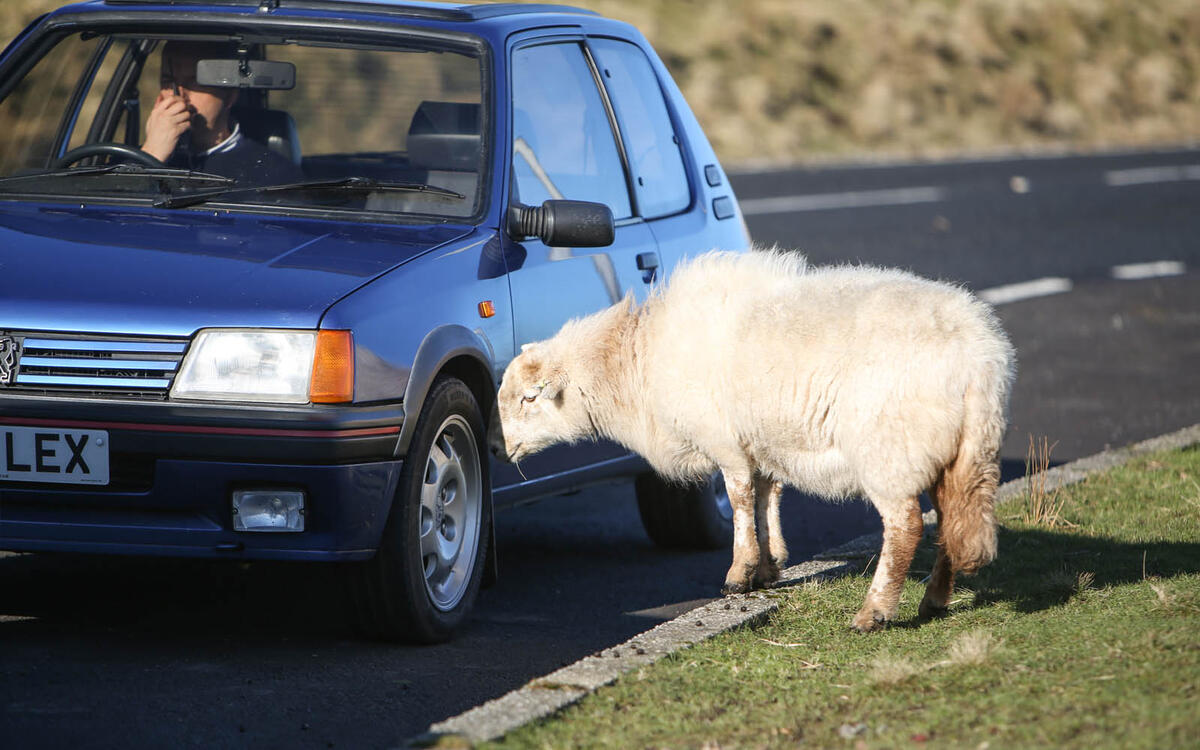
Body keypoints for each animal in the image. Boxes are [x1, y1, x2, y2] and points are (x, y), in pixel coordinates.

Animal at [489, 249, 1015, 632]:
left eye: (529, 398)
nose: (495, 449)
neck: (635, 358)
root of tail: (980, 358)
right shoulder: (756, 441)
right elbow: (766, 496)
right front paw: (769, 567)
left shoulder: (724, 441)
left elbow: (741, 500)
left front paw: (739, 576)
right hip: (954, 451)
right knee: (949, 520)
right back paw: (934, 601)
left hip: (890, 449)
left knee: (904, 527)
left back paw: (874, 612)